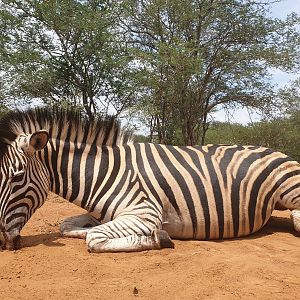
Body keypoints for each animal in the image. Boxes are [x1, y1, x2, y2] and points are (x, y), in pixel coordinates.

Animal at [0, 106, 298, 252]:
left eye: (16, 177)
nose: (3, 241)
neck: (105, 173)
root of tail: (270, 148)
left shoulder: (144, 212)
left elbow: (94, 238)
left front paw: (158, 238)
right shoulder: (107, 214)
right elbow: (68, 226)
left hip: (288, 187)